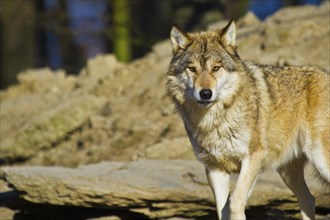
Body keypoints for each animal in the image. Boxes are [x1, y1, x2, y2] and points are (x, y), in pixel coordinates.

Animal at [168, 19, 330, 219]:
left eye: (216, 68)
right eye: (192, 69)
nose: (205, 93)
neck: (215, 122)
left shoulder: (252, 159)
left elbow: (235, 202)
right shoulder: (215, 169)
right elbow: (222, 209)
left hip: (320, 161)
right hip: (287, 172)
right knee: (309, 199)